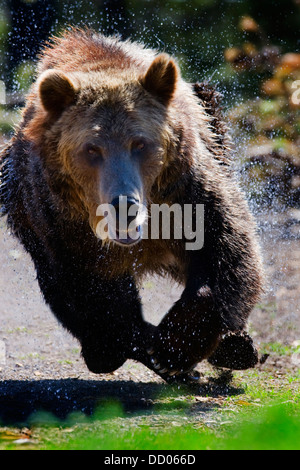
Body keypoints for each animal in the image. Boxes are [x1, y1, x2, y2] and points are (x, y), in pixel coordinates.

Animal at [0, 28, 262, 382]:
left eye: (140, 143)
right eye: (91, 149)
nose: (125, 205)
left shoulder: (188, 191)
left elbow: (226, 251)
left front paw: (177, 344)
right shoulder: (62, 225)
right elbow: (92, 296)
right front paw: (155, 350)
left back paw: (236, 347)